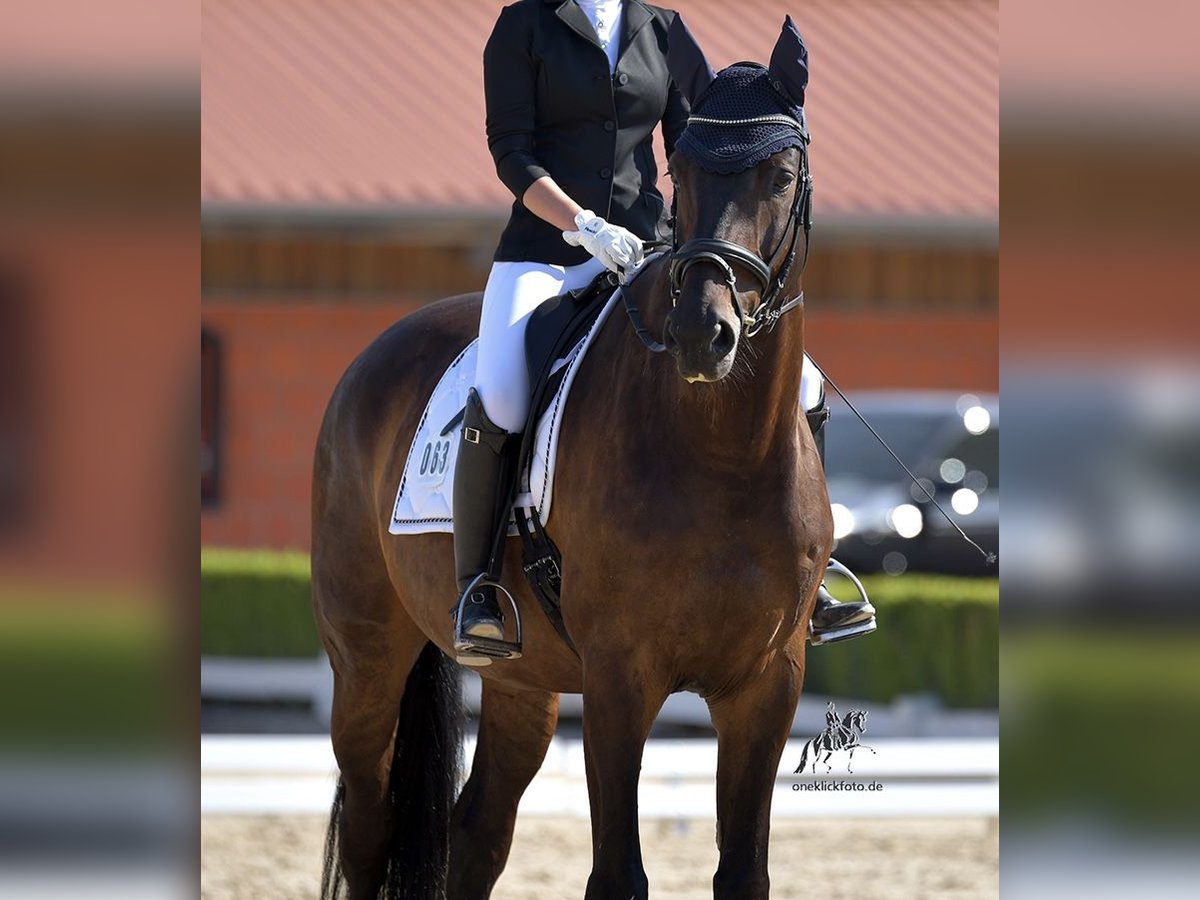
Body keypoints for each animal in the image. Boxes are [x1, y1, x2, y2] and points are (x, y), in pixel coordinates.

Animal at [314, 21, 830, 900]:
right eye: (683, 170)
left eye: (782, 174)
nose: (703, 335)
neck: (723, 452)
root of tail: (373, 356)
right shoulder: (621, 678)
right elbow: (618, 873)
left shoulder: (769, 682)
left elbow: (743, 871)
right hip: (365, 657)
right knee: (372, 825)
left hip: (525, 681)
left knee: (476, 833)